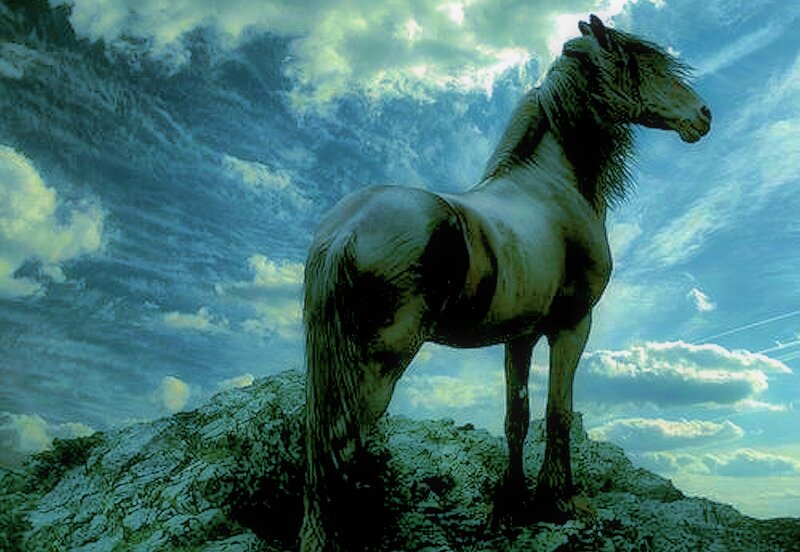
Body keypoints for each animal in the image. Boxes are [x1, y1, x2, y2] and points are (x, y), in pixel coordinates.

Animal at [299, 15, 711, 551]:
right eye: (642, 66)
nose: (703, 115)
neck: (553, 186)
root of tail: (346, 229)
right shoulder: (573, 326)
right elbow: (557, 413)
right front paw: (559, 501)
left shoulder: (519, 339)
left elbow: (517, 417)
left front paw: (513, 504)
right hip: (377, 364)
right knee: (342, 444)